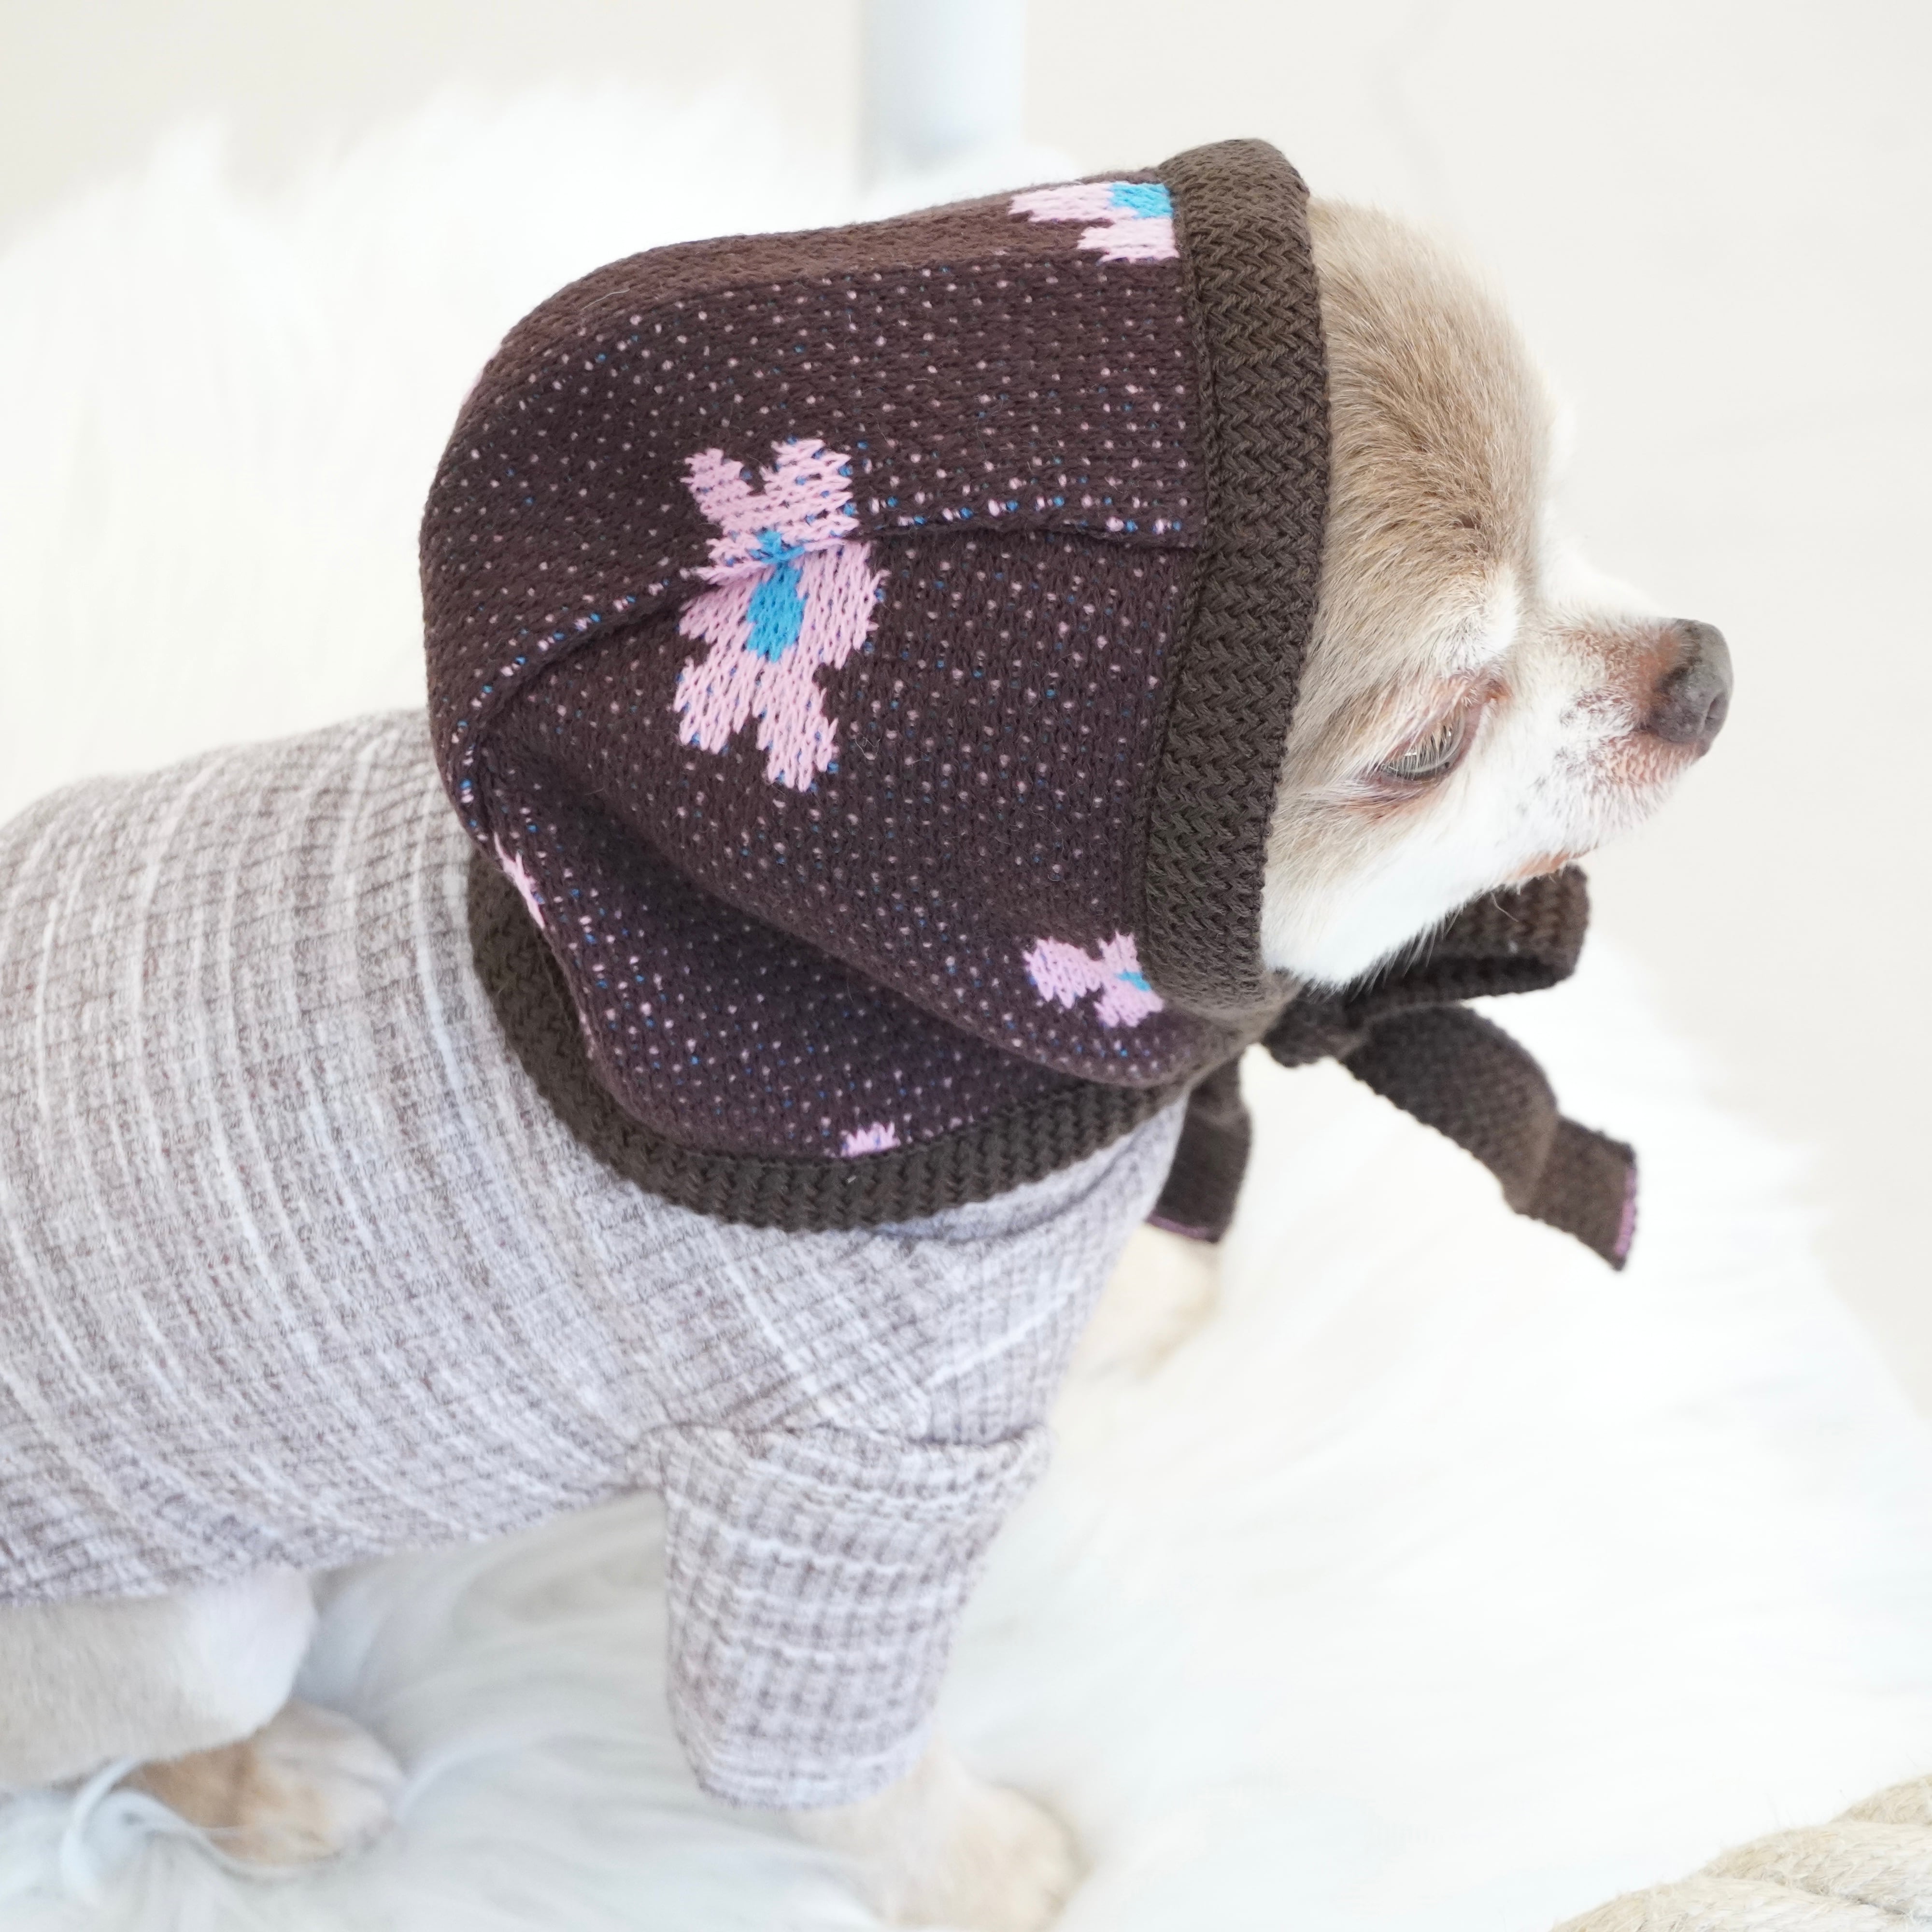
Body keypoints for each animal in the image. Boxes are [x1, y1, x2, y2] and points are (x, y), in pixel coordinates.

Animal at [0, 187, 1726, 1932]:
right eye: (1432, 746)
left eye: (1570, 522)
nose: (1705, 670)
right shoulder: (831, 1498)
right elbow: (833, 1771)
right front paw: (988, 1873)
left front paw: (1135, 1295)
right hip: (190, 1627)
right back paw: (282, 1784)